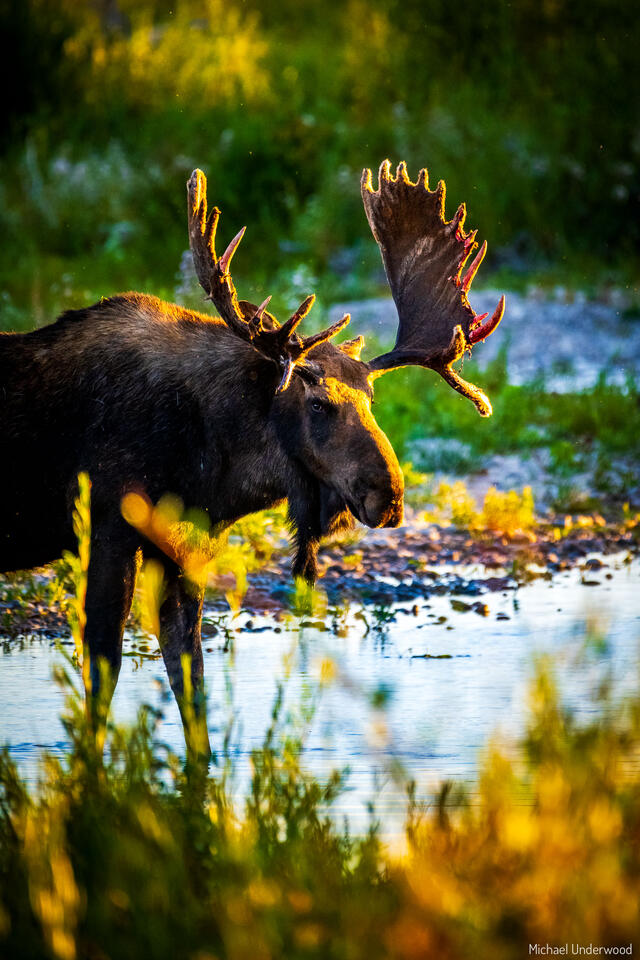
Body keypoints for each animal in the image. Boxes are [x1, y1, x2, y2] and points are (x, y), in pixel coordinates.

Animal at [0, 160, 504, 760]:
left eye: (371, 399)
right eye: (317, 403)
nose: (390, 496)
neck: (208, 463)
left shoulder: (181, 549)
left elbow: (190, 678)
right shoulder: (106, 532)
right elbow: (103, 676)